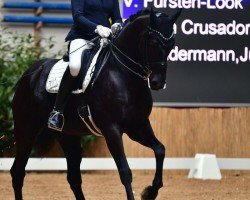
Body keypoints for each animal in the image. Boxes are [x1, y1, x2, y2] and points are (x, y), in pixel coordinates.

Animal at [10, 8, 182, 200]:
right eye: (153, 42)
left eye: (172, 44)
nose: (158, 83)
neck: (123, 75)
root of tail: (29, 73)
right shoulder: (111, 129)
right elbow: (125, 171)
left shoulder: (137, 126)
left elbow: (160, 150)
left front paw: (150, 192)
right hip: (26, 131)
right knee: (17, 172)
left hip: (68, 135)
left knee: (73, 177)